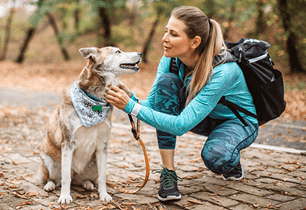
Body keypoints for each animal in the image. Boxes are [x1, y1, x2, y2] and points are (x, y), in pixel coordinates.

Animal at [36, 46, 141, 204]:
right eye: (118, 51)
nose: (140, 53)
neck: (95, 102)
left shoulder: (102, 146)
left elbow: (103, 177)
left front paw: (104, 195)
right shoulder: (68, 144)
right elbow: (65, 177)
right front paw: (64, 196)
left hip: (94, 164)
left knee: (82, 179)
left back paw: (87, 183)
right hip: (46, 158)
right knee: (56, 177)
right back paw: (50, 185)